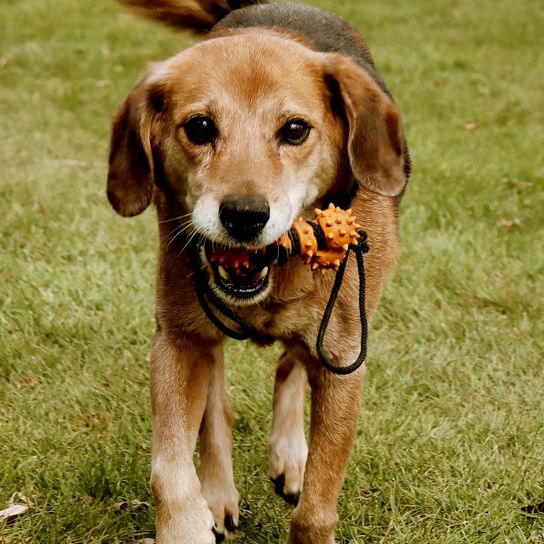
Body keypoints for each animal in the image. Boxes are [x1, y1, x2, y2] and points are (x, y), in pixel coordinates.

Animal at [107, 2, 408, 540]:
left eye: (295, 130)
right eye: (200, 127)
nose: (244, 215)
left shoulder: (344, 363)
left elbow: (316, 508)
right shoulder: (178, 340)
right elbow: (169, 469)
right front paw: (187, 523)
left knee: (291, 364)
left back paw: (289, 456)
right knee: (217, 410)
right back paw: (219, 492)